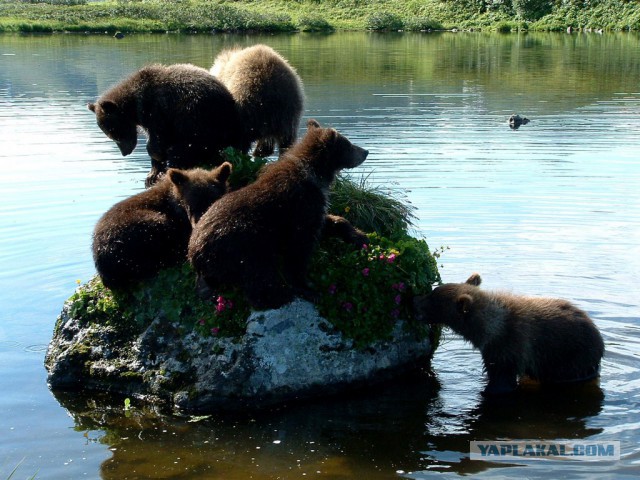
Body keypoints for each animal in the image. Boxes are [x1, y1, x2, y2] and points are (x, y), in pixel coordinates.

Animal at [89, 62, 249, 186]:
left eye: (115, 132)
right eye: (111, 135)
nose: (124, 152)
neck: (134, 105)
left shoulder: (156, 111)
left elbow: (157, 141)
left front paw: (155, 167)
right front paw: (152, 173)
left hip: (204, 124)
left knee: (183, 149)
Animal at [188, 118, 368, 310]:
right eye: (348, 145)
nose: (365, 152)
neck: (315, 176)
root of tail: (194, 253)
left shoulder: (312, 207)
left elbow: (328, 222)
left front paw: (359, 236)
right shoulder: (299, 208)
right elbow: (299, 248)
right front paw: (308, 289)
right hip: (240, 241)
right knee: (257, 271)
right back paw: (278, 295)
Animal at [412, 274, 604, 394]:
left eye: (433, 299)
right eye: (433, 291)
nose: (414, 300)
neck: (488, 329)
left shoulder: (508, 346)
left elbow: (502, 379)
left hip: (568, 359)